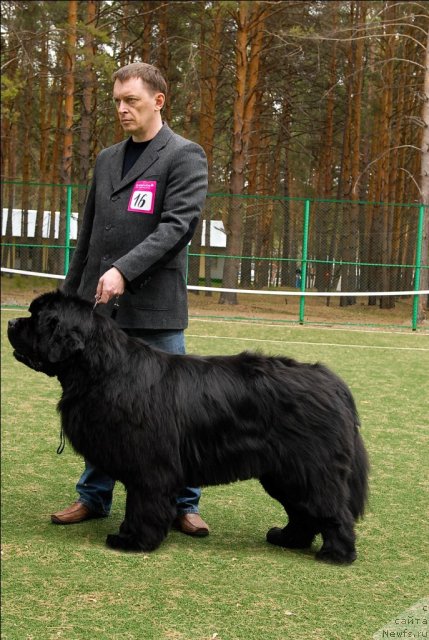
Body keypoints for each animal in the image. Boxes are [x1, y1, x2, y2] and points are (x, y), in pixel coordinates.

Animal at [7, 292, 368, 564]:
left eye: (36, 317)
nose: (10, 322)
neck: (105, 371)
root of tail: (333, 382)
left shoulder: (150, 467)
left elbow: (143, 504)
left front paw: (133, 540)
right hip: (284, 473)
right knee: (303, 512)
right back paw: (287, 538)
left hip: (310, 469)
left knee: (332, 510)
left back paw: (337, 554)